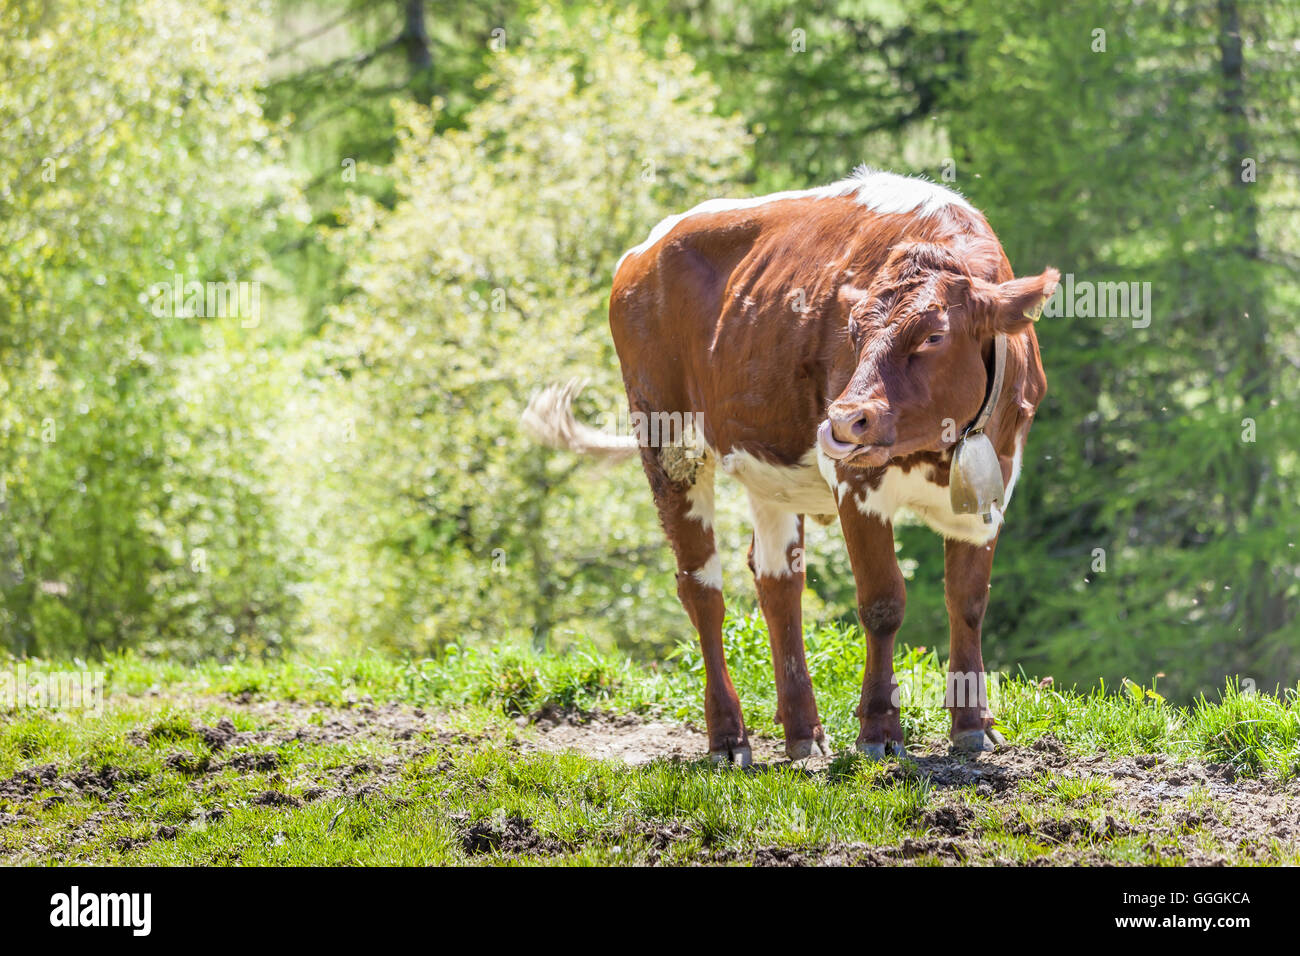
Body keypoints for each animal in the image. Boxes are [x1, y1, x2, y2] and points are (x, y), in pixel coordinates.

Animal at [522, 164, 1060, 764]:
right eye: (853, 333)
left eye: (934, 335)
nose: (845, 420)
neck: (942, 448)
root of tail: (644, 249)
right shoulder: (856, 481)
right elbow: (883, 601)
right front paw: (879, 730)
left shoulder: (994, 482)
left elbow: (966, 600)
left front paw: (973, 725)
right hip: (669, 442)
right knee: (702, 589)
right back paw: (728, 737)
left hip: (767, 466)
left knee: (777, 582)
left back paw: (803, 733)